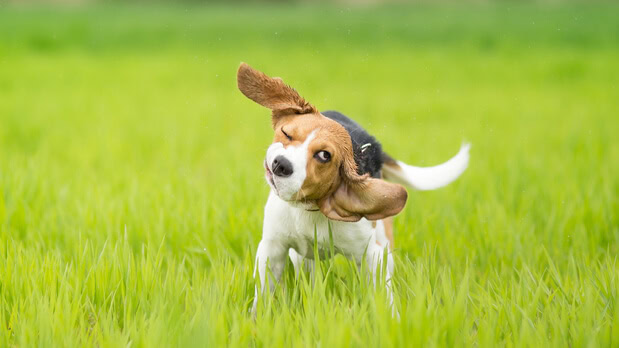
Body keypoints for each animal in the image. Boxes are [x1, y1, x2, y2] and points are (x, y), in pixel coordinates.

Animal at [237, 62, 470, 312]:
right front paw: (258, 317)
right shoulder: (272, 248)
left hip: (384, 242)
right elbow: (263, 293)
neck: (310, 208)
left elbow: (383, 296)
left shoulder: (373, 255)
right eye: (286, 133)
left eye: (324, 155)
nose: (281, 165)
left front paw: (390, 319)